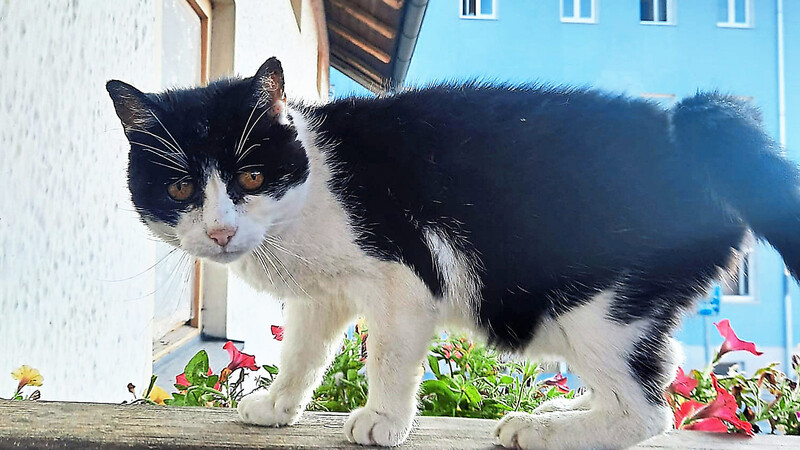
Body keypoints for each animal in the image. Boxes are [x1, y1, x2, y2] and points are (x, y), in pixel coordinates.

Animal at [109, 58, 800, 448]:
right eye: (179, 189)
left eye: (251, 178)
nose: (220, 232)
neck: (311, 193)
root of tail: (689, 133)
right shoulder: (324, 296)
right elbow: (304, 350)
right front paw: (280, 406)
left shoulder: (404, 279)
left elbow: (388, 355)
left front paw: (382, 420)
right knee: (656, 375)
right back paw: (570, 408)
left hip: (599, 307)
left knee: (649, 412)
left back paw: (544, 431)